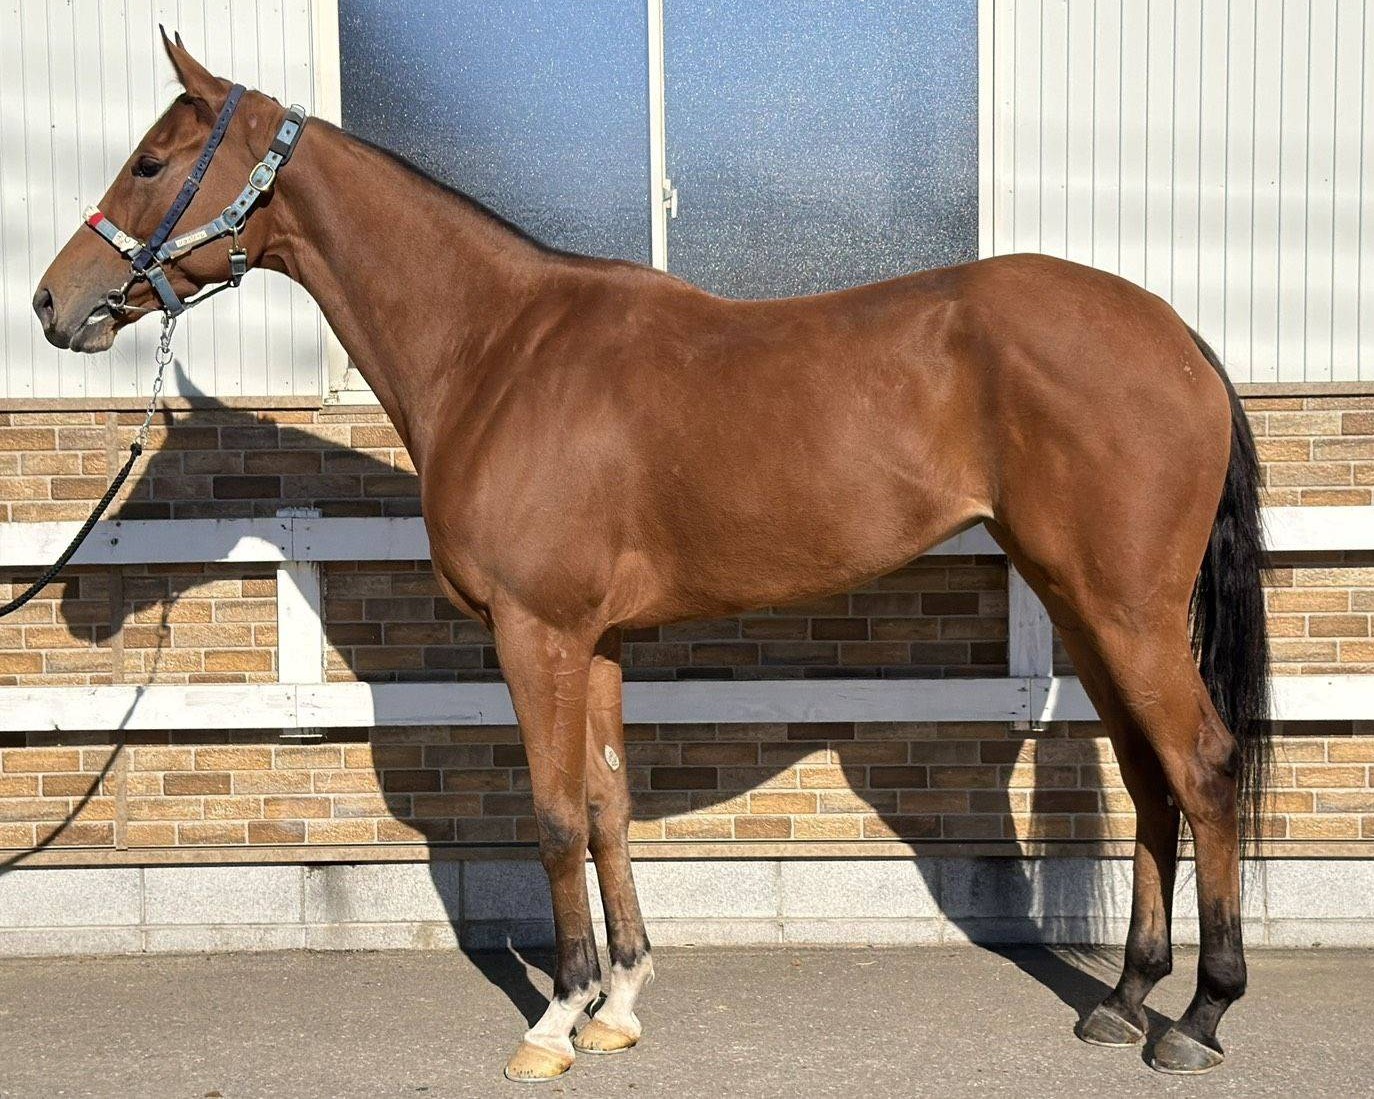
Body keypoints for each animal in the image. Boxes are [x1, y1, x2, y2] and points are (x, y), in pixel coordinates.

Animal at [34, 35, 1270, 1081]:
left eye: (151, 162)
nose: (53, 303)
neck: (497, 349)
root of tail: (1175, 333)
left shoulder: (535, 633)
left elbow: (552, 814)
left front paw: (553, 1019)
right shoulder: (598, 639)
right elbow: (609, 804)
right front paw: (619, 1005)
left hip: (1126, 606)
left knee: (1203, 763)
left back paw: (1200, 1016)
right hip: (1079, 602)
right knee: (1149, 777)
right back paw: (1124, 999)